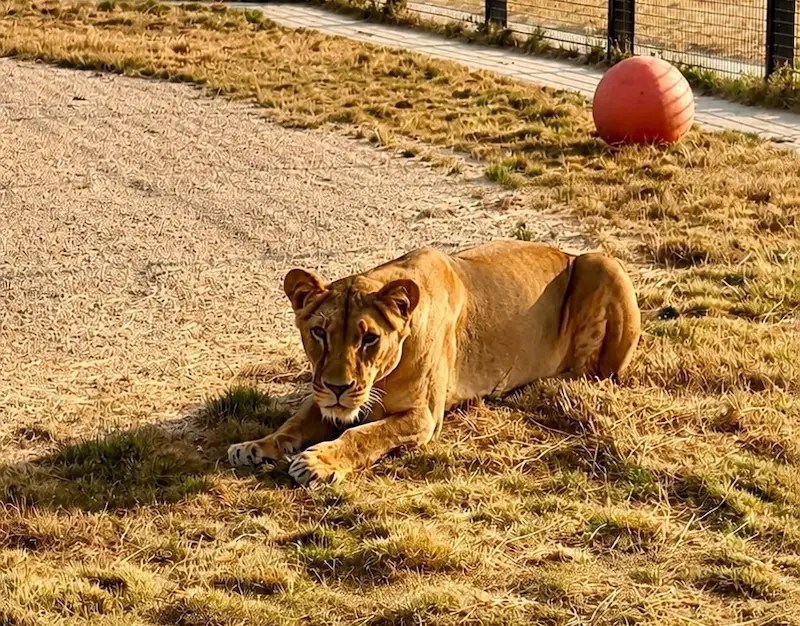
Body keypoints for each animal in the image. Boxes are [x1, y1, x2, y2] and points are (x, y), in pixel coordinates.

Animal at [227, 240, 641, 485]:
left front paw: (317, 463)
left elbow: (362, 435)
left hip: (602, 264)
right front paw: (255, 446)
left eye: (369, 338)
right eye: (319, 333)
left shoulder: (423, 416)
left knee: (598, 373)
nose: (338, 387)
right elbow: (293, 424)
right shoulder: (323, 397)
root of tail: (569, 253)